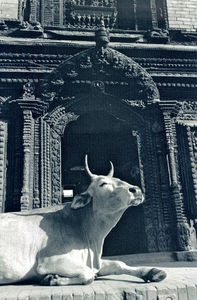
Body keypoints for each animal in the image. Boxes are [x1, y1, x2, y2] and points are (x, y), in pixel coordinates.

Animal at [0, 156, 166, 284]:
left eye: (119, 179)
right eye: (103, 183)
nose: (136, 190)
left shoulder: (94, 261)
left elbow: (119, 264)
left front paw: (153, 272)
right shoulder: (48, 262)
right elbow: (88, 275)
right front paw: (53, 279)